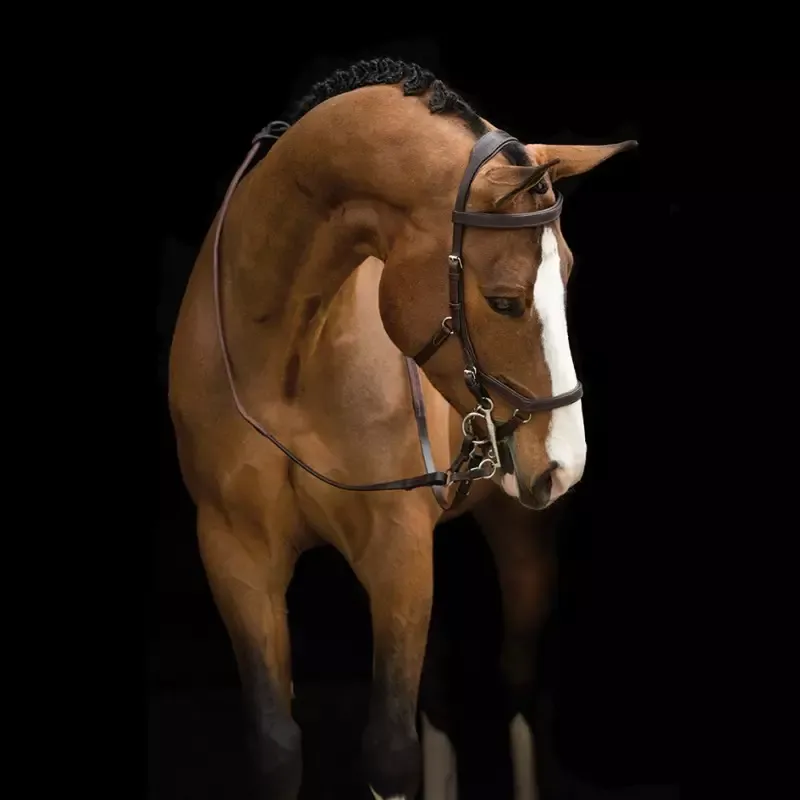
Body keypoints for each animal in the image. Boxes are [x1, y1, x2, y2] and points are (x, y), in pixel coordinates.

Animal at [168, 58, 636, 800]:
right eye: (504, 301)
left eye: (567, 278)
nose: (565, 461)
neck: (281, 357)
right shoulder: (235, 553)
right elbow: (277, 747)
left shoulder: (397, 550)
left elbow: (390, 751)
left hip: (520, 536)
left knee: (518, 681)